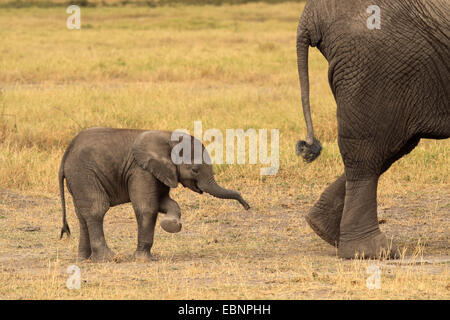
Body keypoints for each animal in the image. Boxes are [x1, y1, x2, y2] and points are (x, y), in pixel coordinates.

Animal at [58, 127, 250, 262]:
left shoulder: (162, 172)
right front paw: (144, 259)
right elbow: (147, 207)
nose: (247, 206)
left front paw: (171, 224)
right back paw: (110, 258)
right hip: (84, 174)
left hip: (79, 179)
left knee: (82, 215)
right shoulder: (141, 170)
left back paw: (84, 259)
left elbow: (166, 203)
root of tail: (65, 157)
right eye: (195, 170)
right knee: (97, 209)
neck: (168, 138)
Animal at [298, 0, 448, 258]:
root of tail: (310, 14)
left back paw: (324, 230)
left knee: (389, 148)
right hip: (376, 65)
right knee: (369, 150)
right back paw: (371, 251)